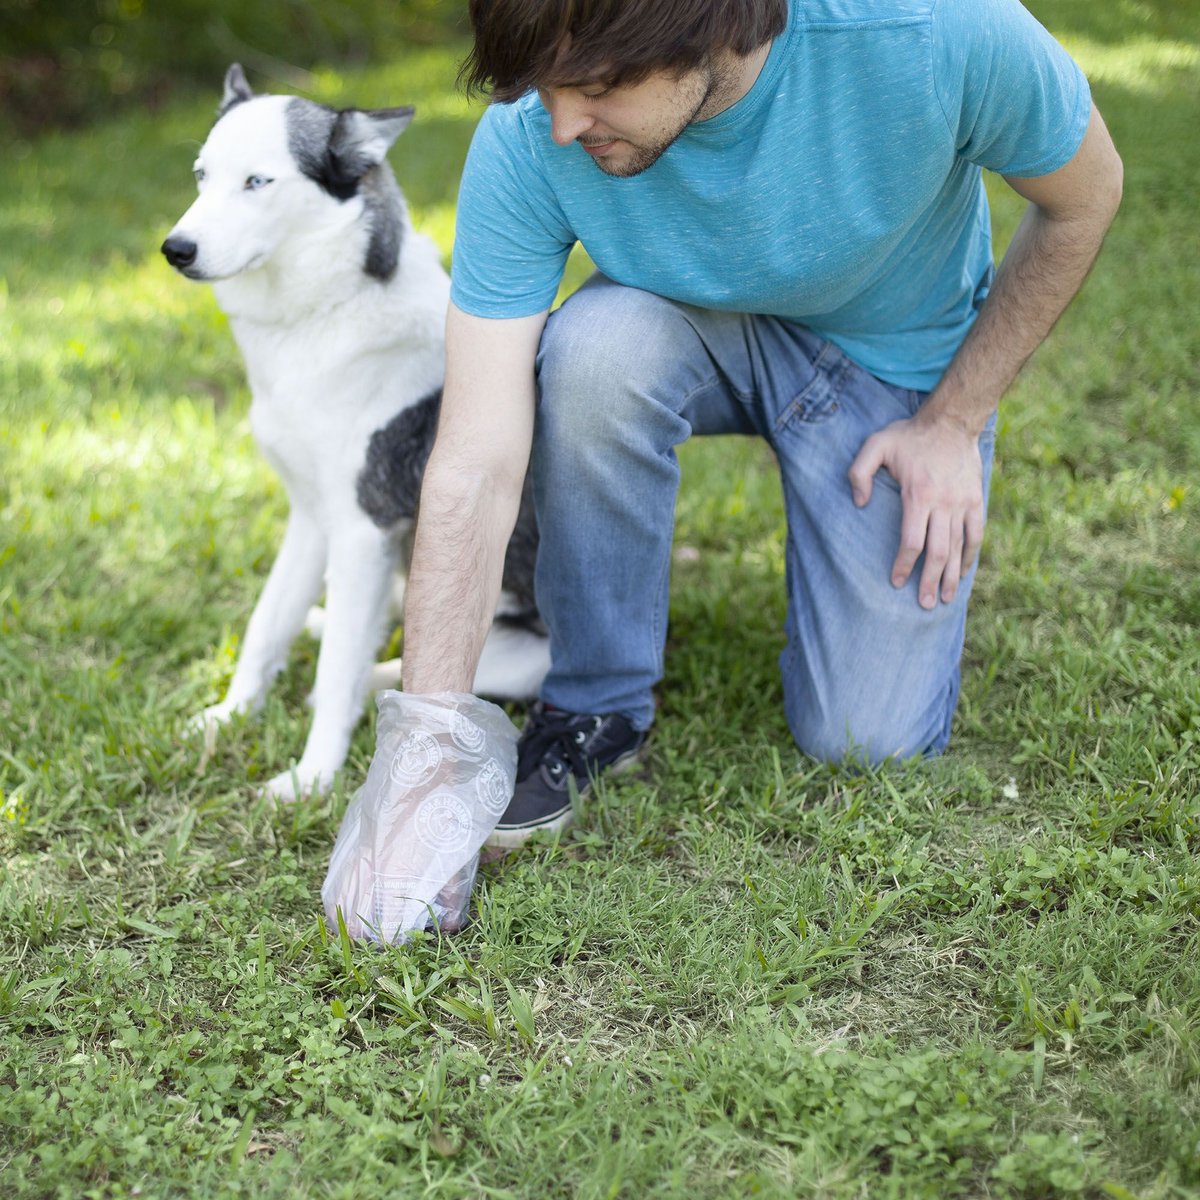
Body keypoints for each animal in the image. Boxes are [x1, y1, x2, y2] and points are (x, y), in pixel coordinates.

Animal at [164, 63, 549, 796]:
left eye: (258, 182)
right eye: (200, 175)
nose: (175, 250)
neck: (319, 315)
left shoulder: (361, 530)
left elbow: (339, 668)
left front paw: (310, 778)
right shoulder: (311, 520)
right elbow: (265, 627)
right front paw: (225, 717)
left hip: (517, 658)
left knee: (396, 674)